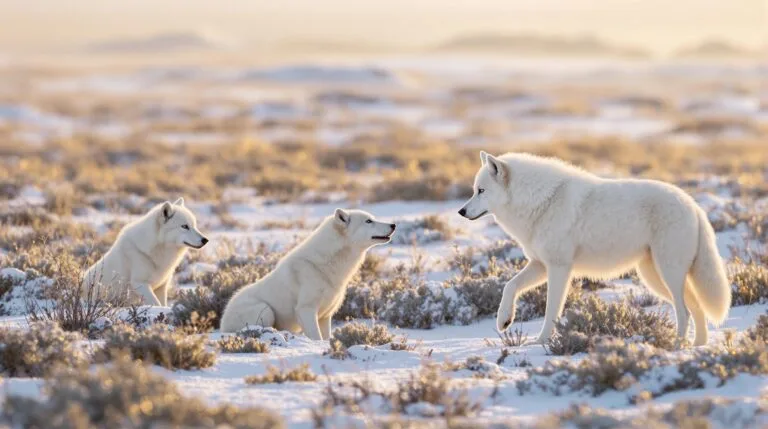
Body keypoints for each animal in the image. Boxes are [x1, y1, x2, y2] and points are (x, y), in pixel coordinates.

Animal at [220, 209, 396, 340]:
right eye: (368, 221)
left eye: (372, 218)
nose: (393, 224)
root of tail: (222, 323)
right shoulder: (306, 310)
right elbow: (316, 337)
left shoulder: (326, 315)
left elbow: (326, 338)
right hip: (266, 310)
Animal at [459, 151, 730, 346]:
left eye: (480, 191)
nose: (461, 211)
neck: (539, 202)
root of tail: (694, 205)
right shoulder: (540, 265)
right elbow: (509, 286)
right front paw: (504, 320)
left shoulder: (559, 268)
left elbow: (551, 309)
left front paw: (542, 341)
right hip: (655, 277)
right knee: (695, 308)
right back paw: (697, 346)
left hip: (667, 274)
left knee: (684, 311)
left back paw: (676, 346)